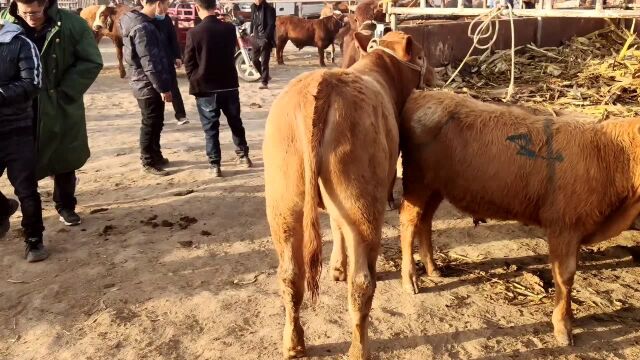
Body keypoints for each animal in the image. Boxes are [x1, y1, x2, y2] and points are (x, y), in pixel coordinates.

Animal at [262, 32, 432, 358]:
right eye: (420, 55)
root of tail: (322, 84)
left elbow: (336, 225)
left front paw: (337, 267)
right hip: (362, 203)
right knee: (362, 282)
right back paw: (359, 349)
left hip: (284, 200)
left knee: (290, 276)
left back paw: (293, 343)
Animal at [400, 90, 640, 346]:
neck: (612, 155)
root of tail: (425, 94)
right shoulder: (563, 228)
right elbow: (564, 277)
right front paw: (563, 326)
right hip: (416, 183)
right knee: (408, 222)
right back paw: (410, 278)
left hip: (436, 187)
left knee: (425, 221)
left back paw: (433, 268)